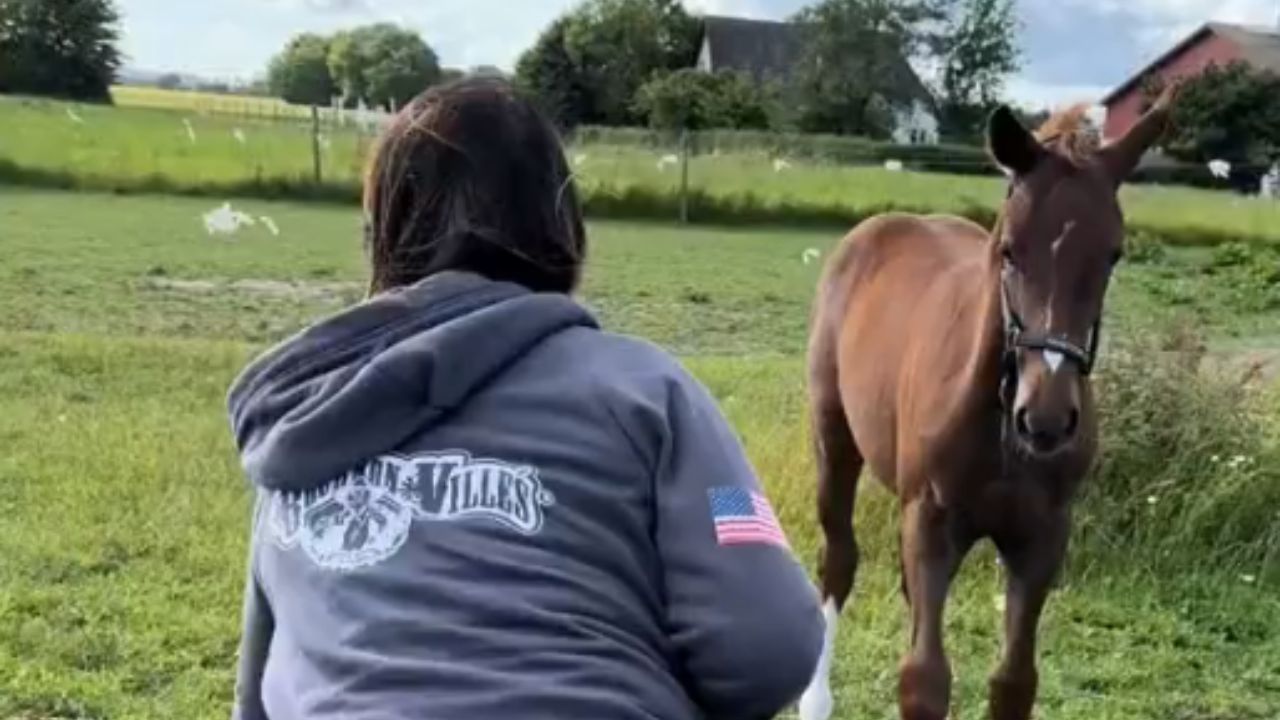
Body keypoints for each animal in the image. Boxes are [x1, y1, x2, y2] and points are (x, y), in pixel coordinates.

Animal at [797, 88, 1177, 720]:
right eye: (1009, 251)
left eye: (1113, 255)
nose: (1045, 419)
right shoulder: (930, 520)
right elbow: (924, 678)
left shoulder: (1042, 535)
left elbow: (1014, 681)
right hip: (835, 439)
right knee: (839, 558)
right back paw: (814, 698)